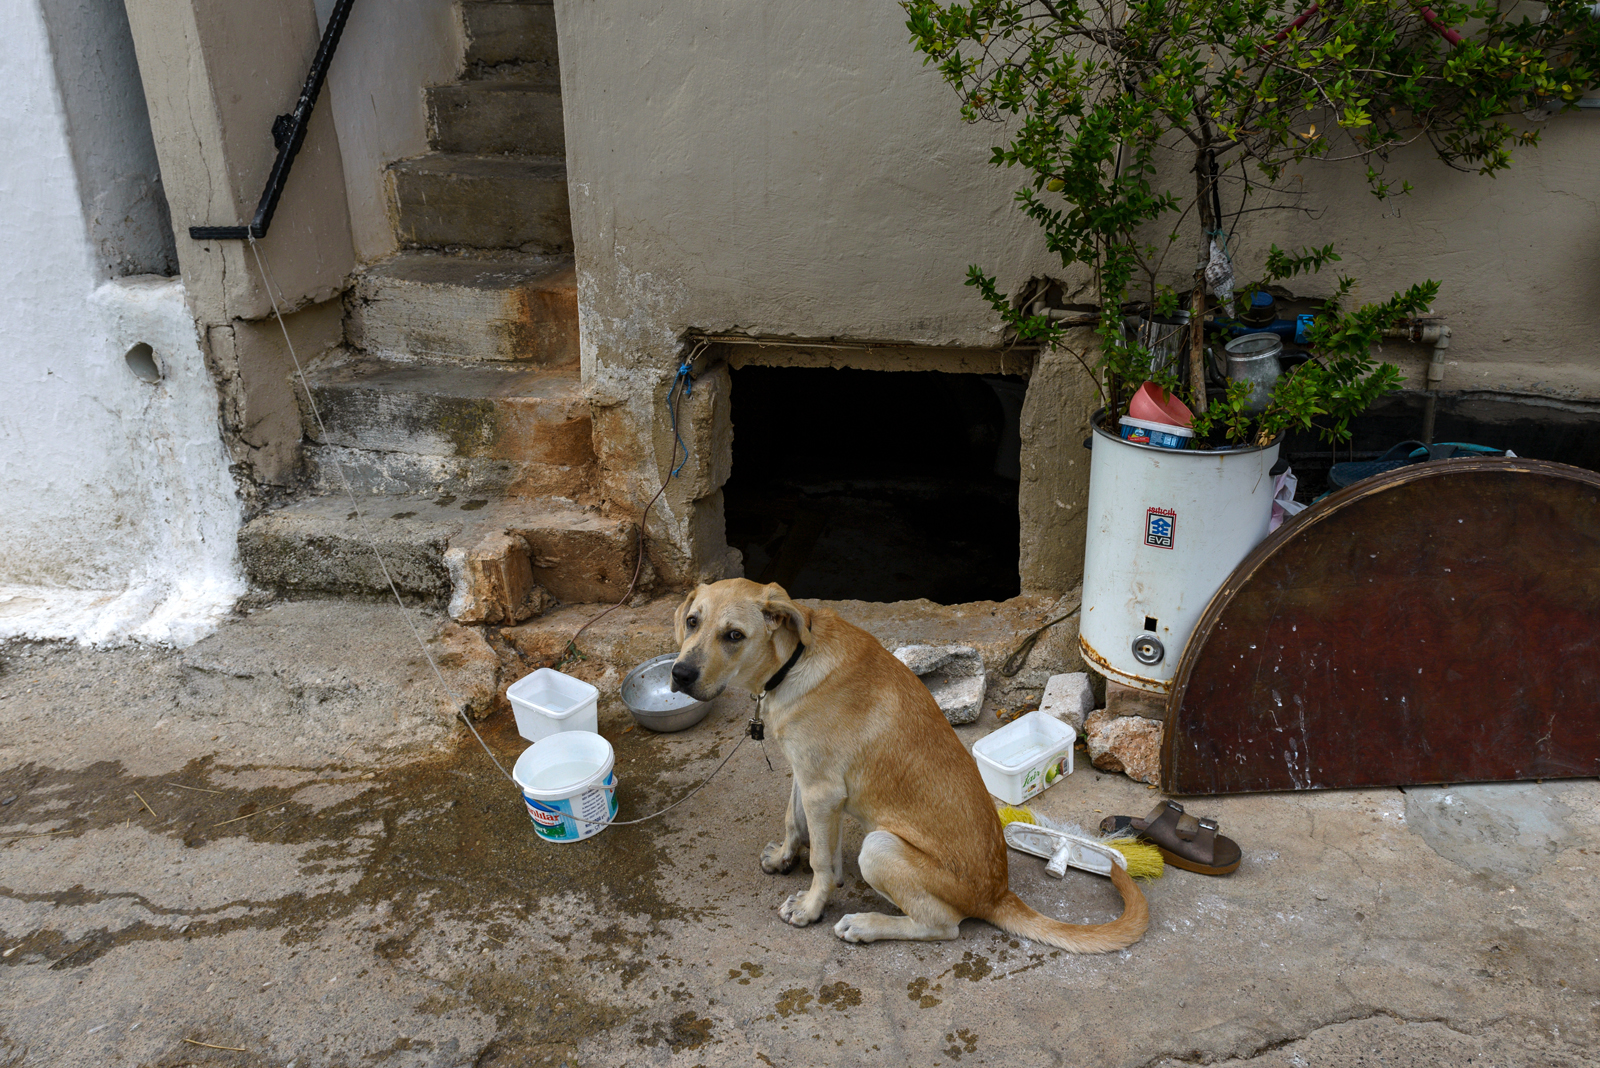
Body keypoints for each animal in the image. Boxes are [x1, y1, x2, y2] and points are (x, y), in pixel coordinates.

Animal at [669, 578, 1147, 951]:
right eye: (692, 622)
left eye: (734, 635)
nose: (679, 675)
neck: (793, 660)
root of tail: (998, 894)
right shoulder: (806, 776)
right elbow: (795, 820)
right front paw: (787, 857)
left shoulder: (823, 789)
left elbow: (821, 860)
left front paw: (810, 906)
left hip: (880, 847)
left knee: (944, 927)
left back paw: (866, 925)